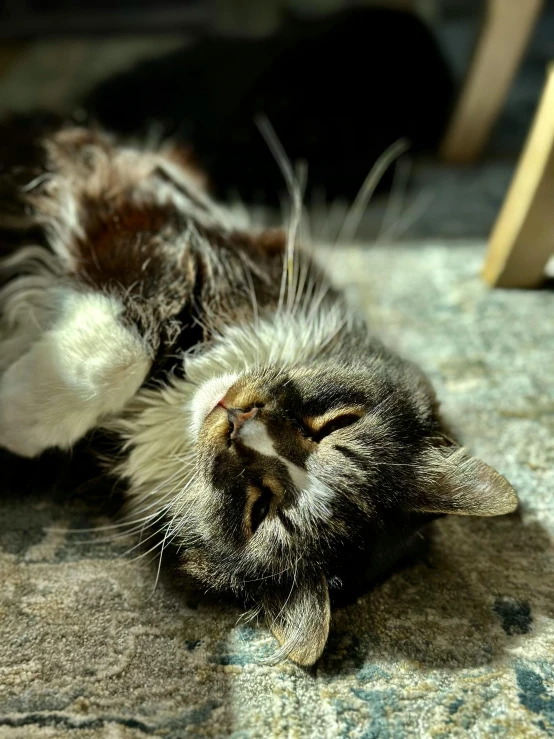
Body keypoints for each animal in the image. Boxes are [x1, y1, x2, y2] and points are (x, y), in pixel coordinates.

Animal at [0, 120, 516, 664]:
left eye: (257, 509)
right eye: (335, 426)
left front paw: (15, 417)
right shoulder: (162, 219)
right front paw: (24, 403)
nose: (239, 421)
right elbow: (130, 335)